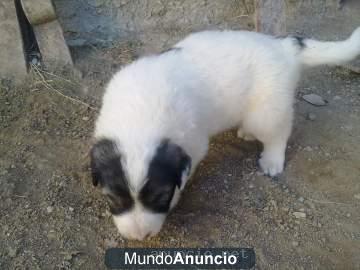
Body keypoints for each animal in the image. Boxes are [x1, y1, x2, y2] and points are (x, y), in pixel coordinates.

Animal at [91, 27, 360, 239]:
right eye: (112, 199)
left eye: (160, 196)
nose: (139, 237)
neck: (138, 119)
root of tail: (283, 46)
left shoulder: (194, 144)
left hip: (266, 111)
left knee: (279, 132)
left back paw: (272, 159)